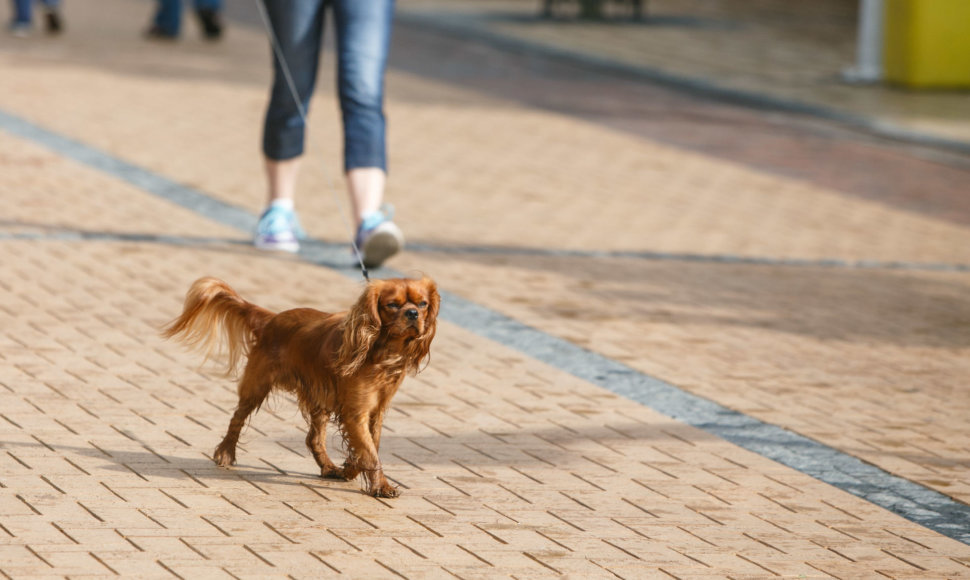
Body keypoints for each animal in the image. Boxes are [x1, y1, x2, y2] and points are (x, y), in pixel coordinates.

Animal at [164, 276, 438, 498]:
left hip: (319, 397)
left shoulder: (375, 411)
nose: (413, 314)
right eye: (393, 305)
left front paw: (351, 469)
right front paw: (381, 486)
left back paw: (328, 467)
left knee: (313, 438)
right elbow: (369, 452)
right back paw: (225, 453)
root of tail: (272, 318)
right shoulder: (356, 411)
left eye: (423, 304)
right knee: (237, 418)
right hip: (257, 385)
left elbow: (369, 447)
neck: (383, 352)